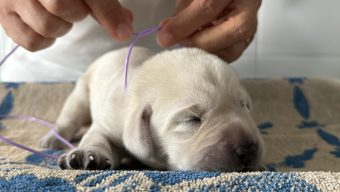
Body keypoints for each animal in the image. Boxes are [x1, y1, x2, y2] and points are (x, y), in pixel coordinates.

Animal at [39, 47, 264, 171]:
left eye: (244, 106)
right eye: (191, 119)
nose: (248, 149)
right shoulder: (111, 122)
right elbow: (97, 137)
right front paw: (86, 154)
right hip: (82, 92)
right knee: (70, 116)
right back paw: (52, 138)